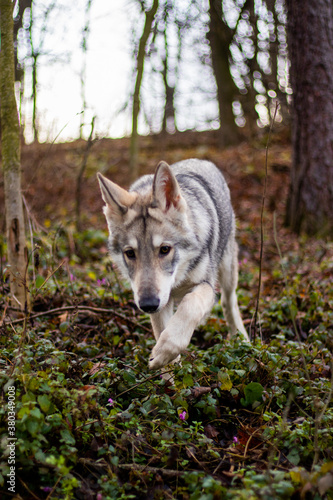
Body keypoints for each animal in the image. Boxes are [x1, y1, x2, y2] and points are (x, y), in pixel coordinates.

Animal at [97, 160, 248, 372]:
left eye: (165, 249)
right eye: (130, 253)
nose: (148, 304)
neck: (177, 280)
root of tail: (202, 161)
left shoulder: (206, 286)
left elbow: (190, 305)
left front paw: (165, 351)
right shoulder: (162, 303)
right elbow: (164, 336)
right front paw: (169, 370)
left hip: (227, 271)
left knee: (229, 301)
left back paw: (242, 341)